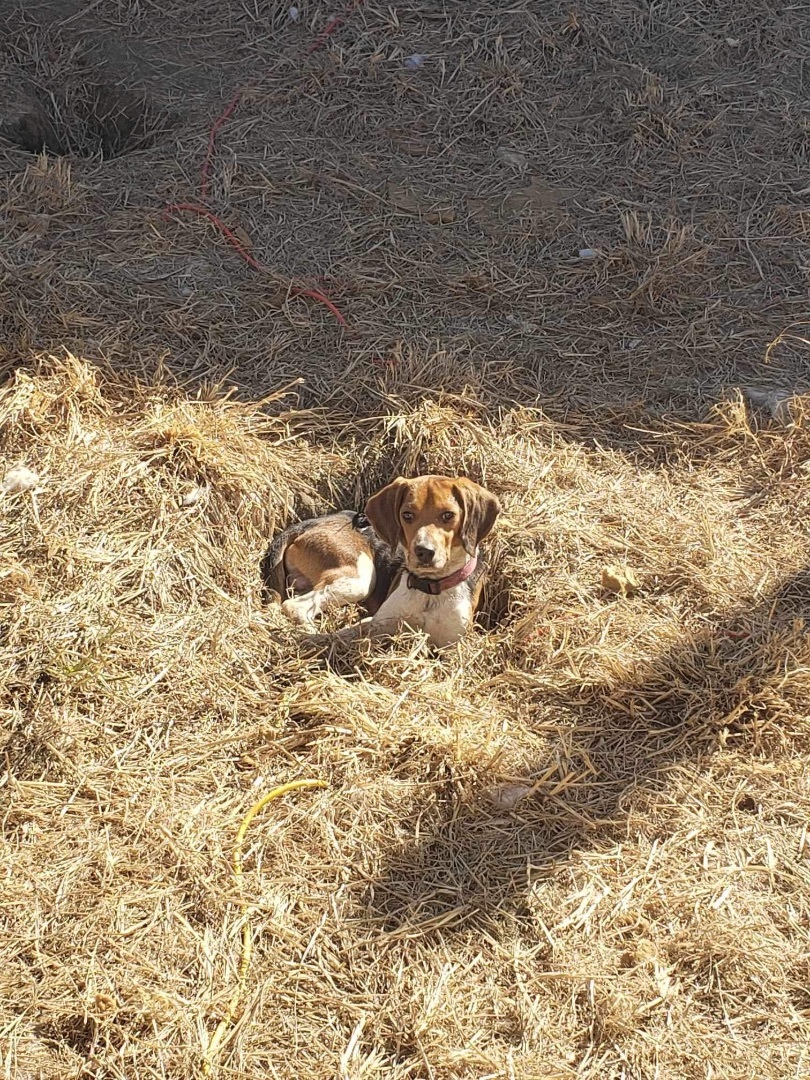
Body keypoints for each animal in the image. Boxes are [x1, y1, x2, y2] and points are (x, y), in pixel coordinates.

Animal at [264, 479, 501, 648]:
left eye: (448, 515)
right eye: (407, 515)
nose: (423, 551)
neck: (430, 588)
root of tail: (313, 522)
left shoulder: (452, 646)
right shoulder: (379, 622)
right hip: (360, 578)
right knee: (294, 606)